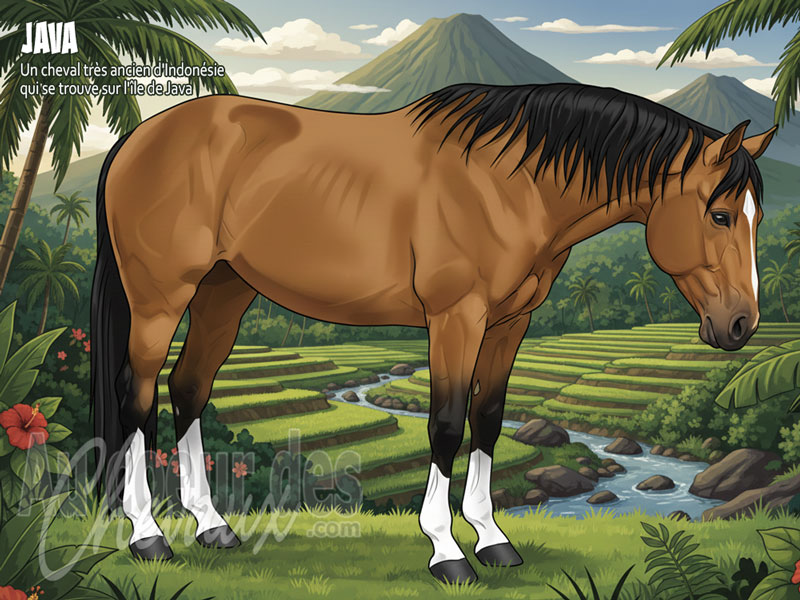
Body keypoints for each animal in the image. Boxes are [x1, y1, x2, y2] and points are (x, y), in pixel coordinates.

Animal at [91, 81, 775, 584]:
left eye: (755, 216)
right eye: (719, 214)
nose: (741, 324)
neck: (509, 185)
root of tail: (137, 139)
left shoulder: (510, 322)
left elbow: (489, 418)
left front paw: (493, 539)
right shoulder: (456, 316)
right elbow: (445, 423)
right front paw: (447, 549)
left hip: (224, 290)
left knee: (189, 387)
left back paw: (212, 526)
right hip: (160, 298)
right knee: (139, 394)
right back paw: (148, 536)